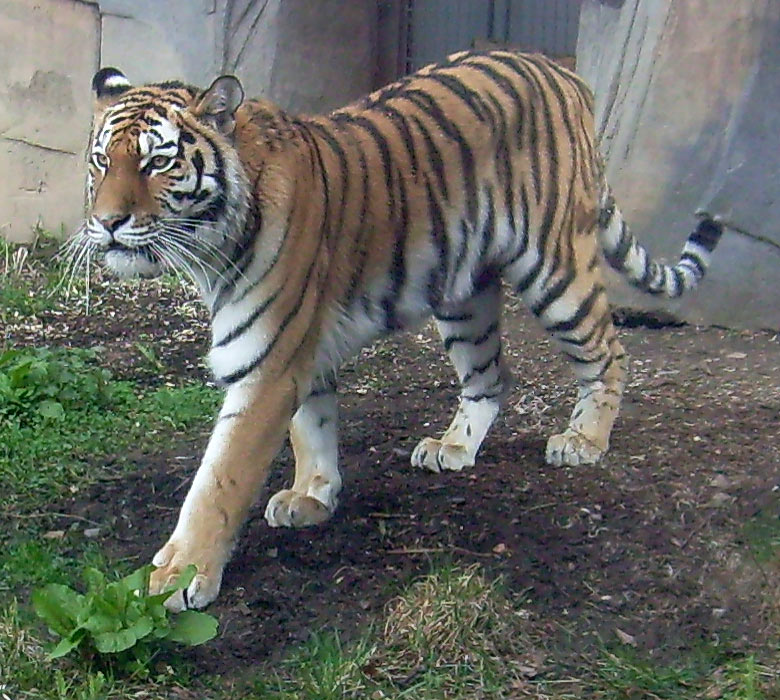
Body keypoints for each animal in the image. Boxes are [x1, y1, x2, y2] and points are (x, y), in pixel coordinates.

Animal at [76, 50, 724, 608]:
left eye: (159, 162)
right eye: (102, 160)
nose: (107, 222)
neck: (214, 247)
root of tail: (564, 74)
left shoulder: (267, 366)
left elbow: (217, 484)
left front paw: (177, 577)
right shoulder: (299, 352)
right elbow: (312, 427)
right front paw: (313, 495)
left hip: (556, 269)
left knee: (609, 353)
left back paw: (584, 440)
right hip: (463, 297)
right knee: (492, 376)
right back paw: (454, 448)